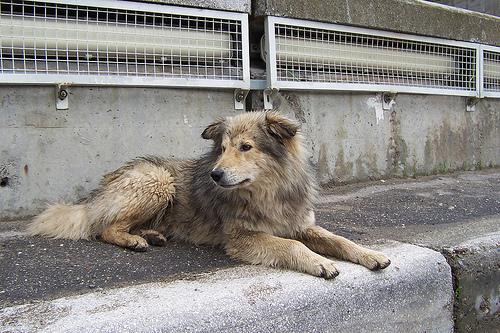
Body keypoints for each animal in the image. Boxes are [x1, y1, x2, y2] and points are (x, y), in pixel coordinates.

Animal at [29, 110, 390, 276]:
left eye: (245, 147)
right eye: (223, 148)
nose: (215, 174)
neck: (268, 191)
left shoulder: (301, 225)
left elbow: (340, 240)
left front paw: (370, 255)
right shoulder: (243, 237)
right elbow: (290, 245)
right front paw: (319, 262)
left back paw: (150, 234)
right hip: (158, 180)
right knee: (104, 227)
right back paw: (133, 239)